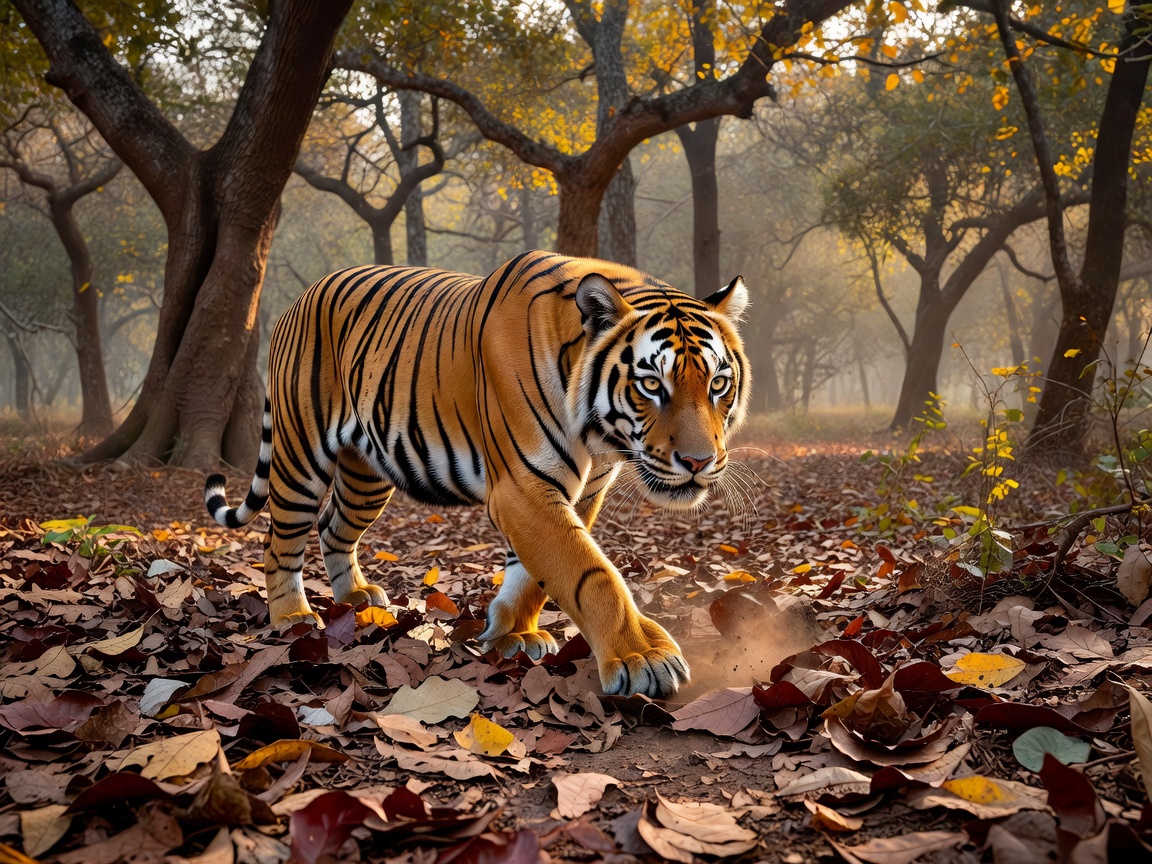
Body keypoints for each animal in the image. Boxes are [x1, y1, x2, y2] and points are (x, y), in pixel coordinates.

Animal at [205, 250, 750, 698]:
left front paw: (514, 633)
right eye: (652, 385)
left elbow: (536, 575)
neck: (599, 437)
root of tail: (298, 300)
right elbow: (589, 571)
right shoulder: (523, 487)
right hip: (300, 455)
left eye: (718, 383)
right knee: (281, 540)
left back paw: (355, 599)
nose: (698, 462)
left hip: (366, 474)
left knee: (332, 528)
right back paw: (293, 618)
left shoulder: (581, 490)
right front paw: (641, 655)